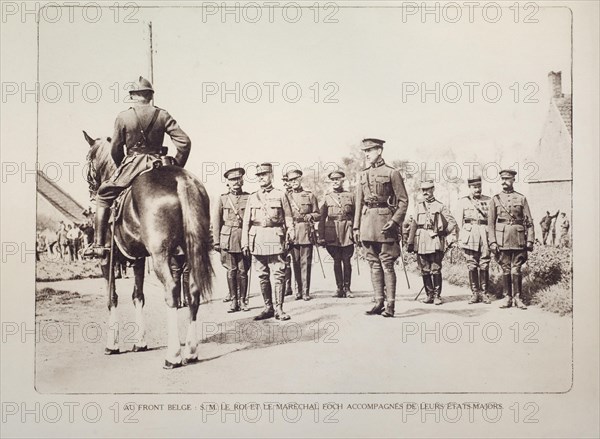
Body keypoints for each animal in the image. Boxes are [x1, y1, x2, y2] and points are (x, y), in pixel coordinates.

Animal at [82, 130, 213, 368]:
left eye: (89, 160)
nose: (91, 191)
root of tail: (181, 180)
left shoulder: (107, 259)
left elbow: (112, 297)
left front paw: (112, 344)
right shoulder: (139, 260)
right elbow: (138, 295)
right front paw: (140, 342)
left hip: (160, 255)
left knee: (171, 291)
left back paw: (173, 356)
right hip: (192, 251)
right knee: (193, 292)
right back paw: (190, 351)